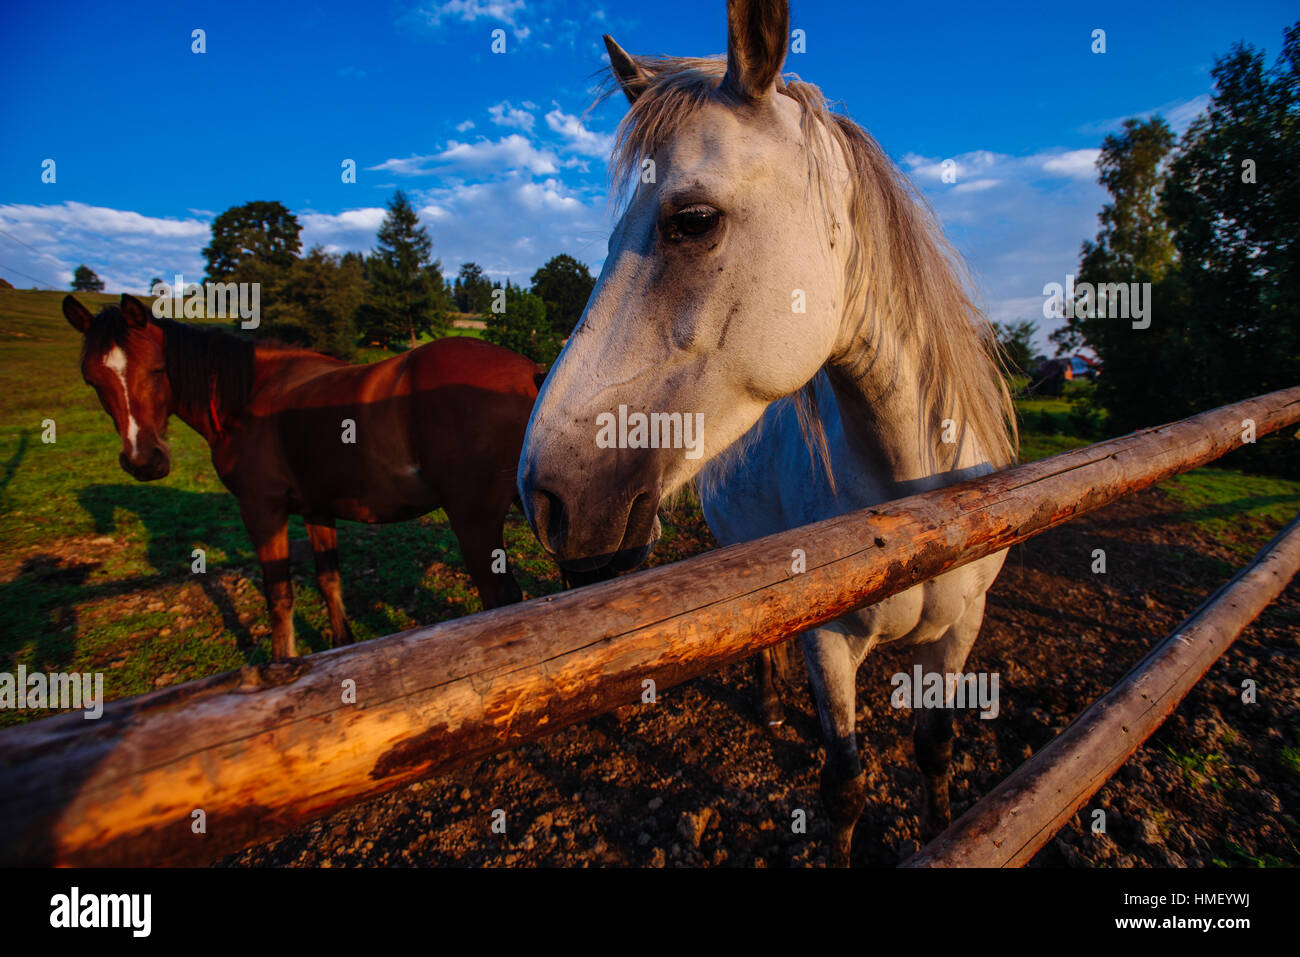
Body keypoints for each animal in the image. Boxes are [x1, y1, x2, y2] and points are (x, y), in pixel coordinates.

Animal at [64, 293, 542, 660]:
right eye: (92, 379)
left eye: (157, 370)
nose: (144, 460)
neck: (249, 396)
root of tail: (530, 373)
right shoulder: (317, 509)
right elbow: (329, 580)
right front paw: (339, 648)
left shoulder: (262, 509)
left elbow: (279, 595)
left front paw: (283, 664)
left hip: (474, 520)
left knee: (501, 599)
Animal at [516, 0, 1016, 866]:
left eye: (692, 220)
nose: (546, 495)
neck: (916, 497)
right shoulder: (829, 642)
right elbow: (844, 784)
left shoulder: (960, 633)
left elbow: (934, 750)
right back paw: (774, 702)